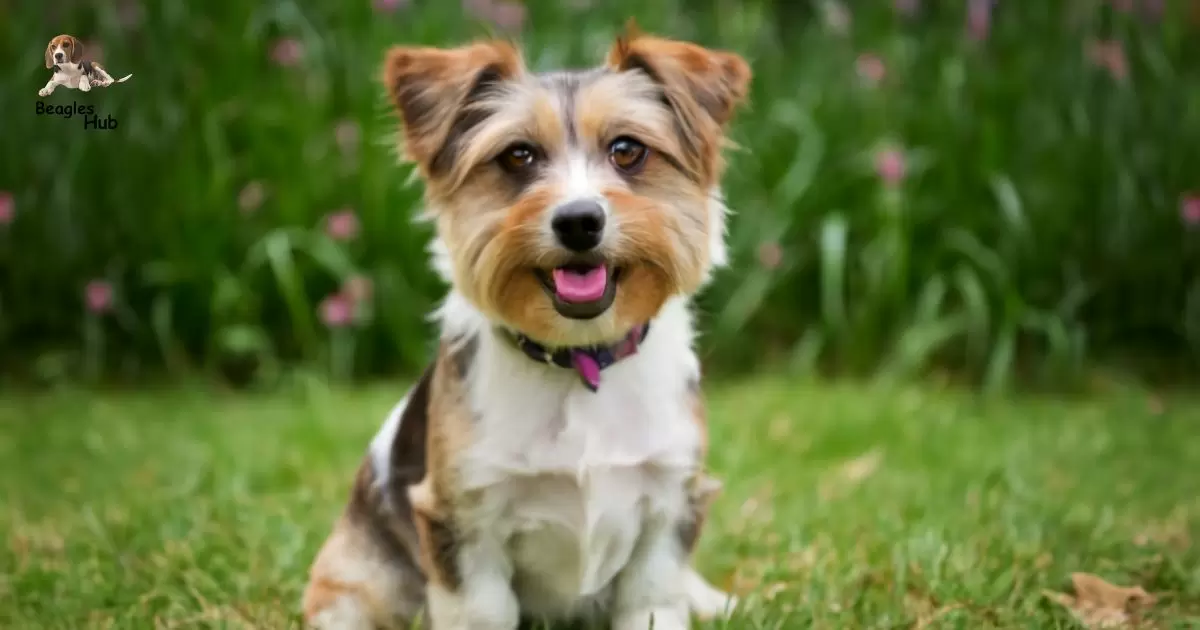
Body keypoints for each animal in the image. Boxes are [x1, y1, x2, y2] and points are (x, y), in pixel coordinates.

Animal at [300, 20, 748, 628]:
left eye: (627, 150)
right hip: (356, 580)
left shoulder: (668, 503)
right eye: (518, 156)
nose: (579, 220)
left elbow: (653, 596)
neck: (580, 358)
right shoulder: (465, 522)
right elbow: (483, 610)